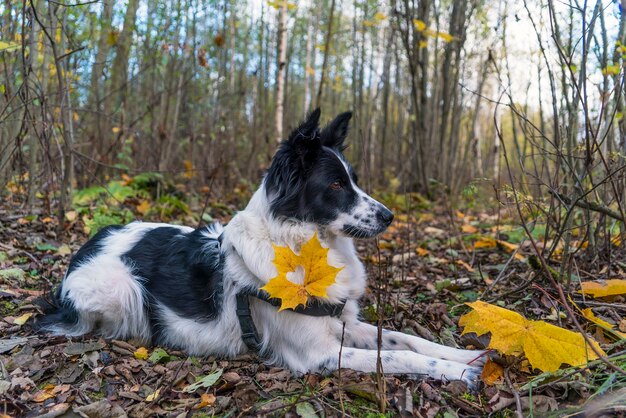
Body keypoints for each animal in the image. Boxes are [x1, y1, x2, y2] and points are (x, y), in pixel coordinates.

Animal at [36, 109, 486, 386]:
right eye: (335, 184)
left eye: (354, 180)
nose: (390, 216)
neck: (306, 246)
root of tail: (88, 245)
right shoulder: (318, 354)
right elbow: (394, 358)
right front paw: (459, 374)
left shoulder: (344, 322)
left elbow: (402, 340)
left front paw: (464, 356)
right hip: (122, 289)